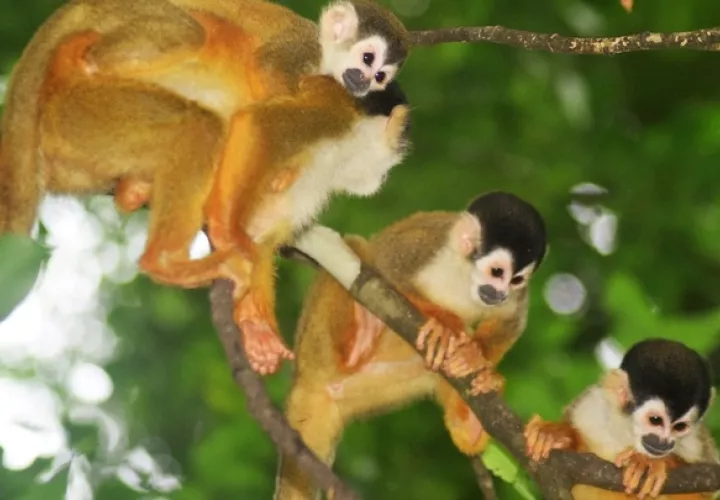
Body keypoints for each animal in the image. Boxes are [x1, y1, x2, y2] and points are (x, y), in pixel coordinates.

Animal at [0, 0, 411, 374]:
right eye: (367, 58)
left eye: (381, 74)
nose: (364, 79)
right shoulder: (315, 84)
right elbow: (263, 119)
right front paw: (229, 233)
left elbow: (261, 233)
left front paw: (255, 324)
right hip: (91, 105)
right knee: (195, 103)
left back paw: (134, 191)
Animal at [273, 191, 547, 500]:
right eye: (497, 272)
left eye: (517, 280)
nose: (500, 294)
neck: (465, 276)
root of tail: (307, 383)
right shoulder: (426, 243)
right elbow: (388, 268)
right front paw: (445, 322)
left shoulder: (516, 298)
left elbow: (511, 323)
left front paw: (476, 356)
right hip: (314, 343)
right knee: (357, 251)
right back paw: (359, 337)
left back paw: (471, 425)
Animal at [524, 338, 720, 500]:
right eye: (655, 420)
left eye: (680, 427)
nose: (665, 443)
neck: (626, 435)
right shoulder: (592, 405)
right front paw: (560, 436)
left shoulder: (697, 439)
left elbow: (708, 485)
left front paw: (650, 463)